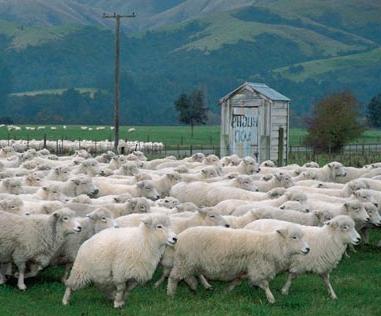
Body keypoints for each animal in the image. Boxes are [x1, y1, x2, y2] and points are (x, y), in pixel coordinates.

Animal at [166, 226, 308, 302]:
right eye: (294, 237)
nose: (308, 249)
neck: (272, 245)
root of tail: (180, 237)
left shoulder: (245, 269)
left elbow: (236, 281)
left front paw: (226, 291)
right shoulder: (258, 267)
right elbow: (265, 284)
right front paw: (271, 298)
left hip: (190, 262)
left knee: (189, 275)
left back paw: (196, 286)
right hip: (185, 261)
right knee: (174, 277)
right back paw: (171, 294)